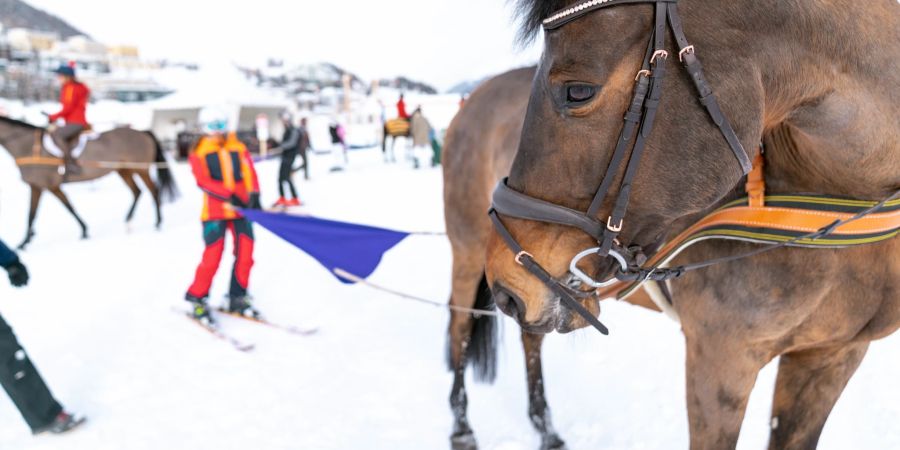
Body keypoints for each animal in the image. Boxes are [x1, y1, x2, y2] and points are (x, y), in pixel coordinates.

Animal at [0, 116, 176, 250]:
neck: (29, 147)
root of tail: (143, 132)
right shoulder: (40, 186)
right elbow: (35, 213)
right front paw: (25, 240)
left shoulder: (47, 186)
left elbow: (61, 209)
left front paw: (24, 242)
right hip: (123, 170)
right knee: (137, 191)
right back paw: (128, 220)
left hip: (141, 169)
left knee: (154, 191)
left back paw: (158, 222)